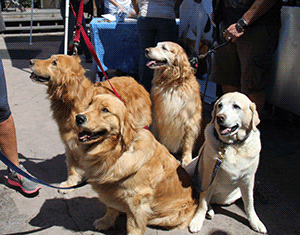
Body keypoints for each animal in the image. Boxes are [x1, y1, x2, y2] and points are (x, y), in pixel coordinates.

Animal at [29, 55, 151, 193]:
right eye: (50, 58)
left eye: (54, 63)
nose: (31, 61)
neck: (74, 100)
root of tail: (135, 82)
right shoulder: (71, 142)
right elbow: (72, 166)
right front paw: (70, 183)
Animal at [76, 94, 200, 235]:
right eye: (89, 104)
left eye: (105, 110)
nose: (79, 117)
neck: (115, 152)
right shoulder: (110, 191)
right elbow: (110, 208)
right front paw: (105, 222)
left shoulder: (137, 199)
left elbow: (133, 225)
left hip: (167, 218)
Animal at [190, 92, 268, 233]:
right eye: (219, 105)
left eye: (236, 106)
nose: (219, 117)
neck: (232, 145)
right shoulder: (209, 176)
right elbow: (203, 201)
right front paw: (197, 220)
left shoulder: (248, 179)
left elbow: (250, 203)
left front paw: (255, 222)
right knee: (203, 198)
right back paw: (208, 211)